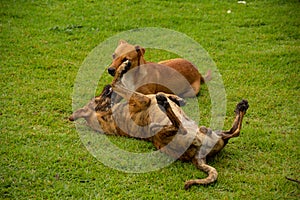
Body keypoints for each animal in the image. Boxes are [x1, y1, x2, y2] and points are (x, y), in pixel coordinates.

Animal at [69, 60, 248, 189]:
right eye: (97, 98)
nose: (104, 87)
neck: (106, 115)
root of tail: (197, 156)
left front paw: (177, 99)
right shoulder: (143, 98)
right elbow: (117, 83)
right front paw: (122, 68)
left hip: (213, 132)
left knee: (233, 131)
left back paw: (241, 107)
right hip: (170, 133)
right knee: (179, 126)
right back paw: (163, 106)